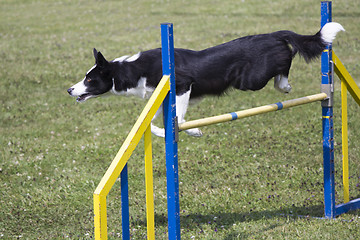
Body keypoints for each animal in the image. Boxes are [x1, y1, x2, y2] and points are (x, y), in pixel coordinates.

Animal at [67, 23, 344, 138]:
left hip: (251, 79)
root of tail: (272, 34)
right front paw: (187, 131)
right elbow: (157, 125)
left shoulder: (181, 86)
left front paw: (194, 130)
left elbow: (178, 120)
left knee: (287, 58)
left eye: (90, 79)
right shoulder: (163, 98)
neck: (134, 68)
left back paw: (284, 85)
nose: (69, 90)